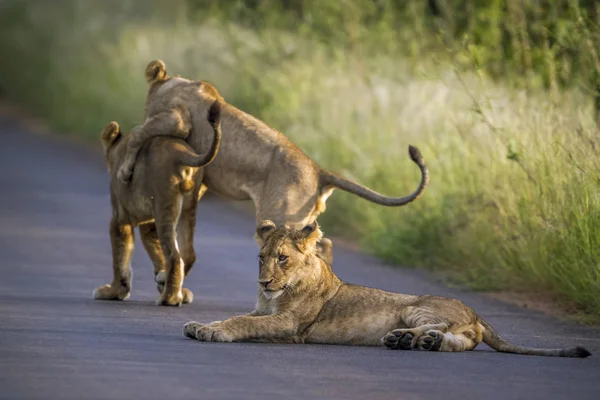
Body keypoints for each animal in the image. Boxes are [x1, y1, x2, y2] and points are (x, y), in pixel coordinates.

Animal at [92, 100, 224, 306]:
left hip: (165, 207)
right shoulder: (149, 225)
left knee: (174, 256)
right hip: (187, 209)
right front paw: (164, 280)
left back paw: (169, 298)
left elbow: (120, 258)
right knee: (187, 253)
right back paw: (173, 289)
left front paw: (114, 291)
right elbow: (156, 253)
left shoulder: (120, 219)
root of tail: (182, 153)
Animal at [115, 60, 428, 262]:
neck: (172, 84)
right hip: (301, 217)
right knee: (322, 242)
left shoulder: (177, 119)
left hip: (279, 214)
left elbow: (139, 133)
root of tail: (319, 169)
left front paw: (125, 171)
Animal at [182, 220, 592, 358]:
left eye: (282, 259)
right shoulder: (264, 310)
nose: (263, 281)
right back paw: (418, 342)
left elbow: (241, 322)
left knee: (444, 327)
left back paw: (404, 338)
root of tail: (476, 312)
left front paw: (213, 332)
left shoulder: (288, 325)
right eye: (261, 257)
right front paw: (198, 325)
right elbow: (237, 314)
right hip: (451, 327)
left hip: (414, 306)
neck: (277, 293)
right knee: (461, 341)